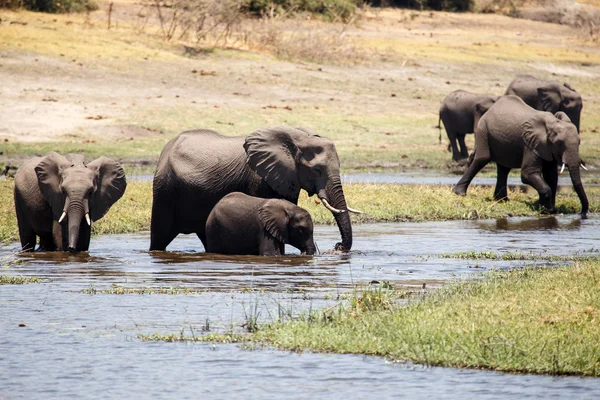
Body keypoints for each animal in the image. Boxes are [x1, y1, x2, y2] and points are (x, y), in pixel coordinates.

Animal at [150, 126, 360, 252]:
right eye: (317, 170)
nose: (338, 246)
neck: (296, 137)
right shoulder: (260, 177)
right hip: (165, 189)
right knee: (159, 237)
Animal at [452, 95, 588, 217]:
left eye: (579, 142)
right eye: (559, 143)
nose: (582, 213)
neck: (551, 123)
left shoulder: (546, 147)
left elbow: (551, 175)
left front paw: (549, 209)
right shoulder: (530, 143)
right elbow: (528, 173)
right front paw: (547, 210)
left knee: (504, 168)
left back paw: (502, 200)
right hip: (483, 128)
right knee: (482, 158)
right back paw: (459, 193)